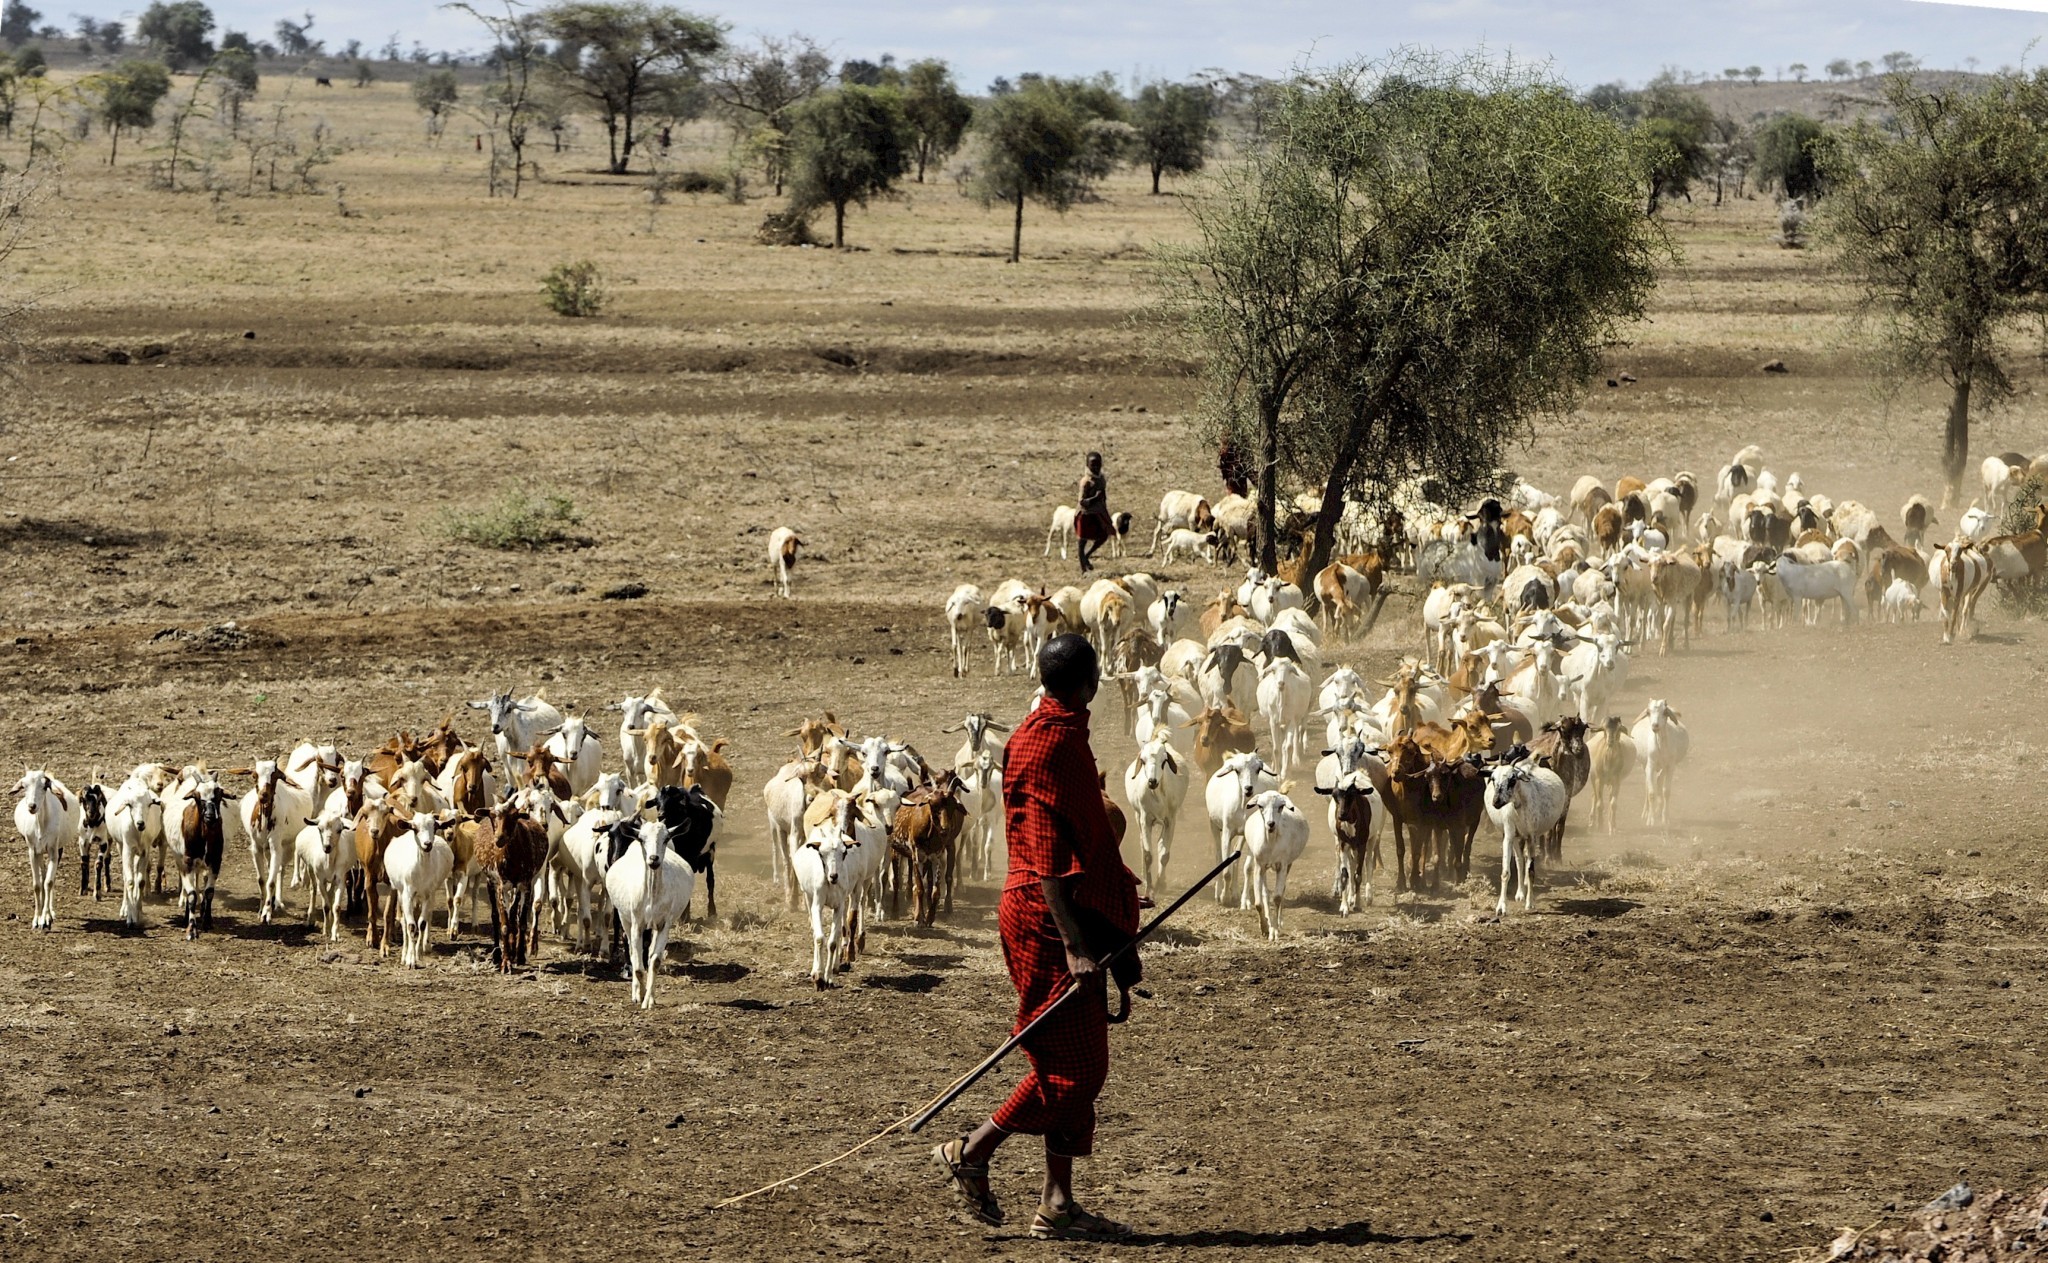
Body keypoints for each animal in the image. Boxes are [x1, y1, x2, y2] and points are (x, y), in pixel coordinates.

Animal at [13, 761, 81, 929]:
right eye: (24, 785)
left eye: (44, 786)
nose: (32, 806)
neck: (41, 825)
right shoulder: (32, 851)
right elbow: (37, 884)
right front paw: (36, 919)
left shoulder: (53, 851)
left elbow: (49, 882)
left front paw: (46, 919)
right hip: (39, 852)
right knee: (43, 875)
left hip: (58, 849)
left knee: (50, 878)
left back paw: (50, 913)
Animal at [598, 818, 696, 1003]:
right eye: (642, 839)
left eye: (666, 838)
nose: (653, 859)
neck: (651, 894)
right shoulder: (637, 923)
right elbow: (637, 964)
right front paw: (638, 995)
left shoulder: (664, 923)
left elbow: (655, 961)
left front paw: (649, 1000)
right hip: (625, 918)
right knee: (631, 947)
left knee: (648, 952)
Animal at [1228, 786, 1310, 937]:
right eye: (1260, 806)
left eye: (1281, 806)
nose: (1270, 824)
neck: (1272, 843)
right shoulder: (1259, 865)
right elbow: (1259, 902)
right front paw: (1265, 928)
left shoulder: (1282, 865)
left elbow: (1277, 896)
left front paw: (1275, 930)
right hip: (1264, 867)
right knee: (1265, 892)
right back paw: (1268, 919)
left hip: (1288, 864)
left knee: (1282, 890)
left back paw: (1279, 921)